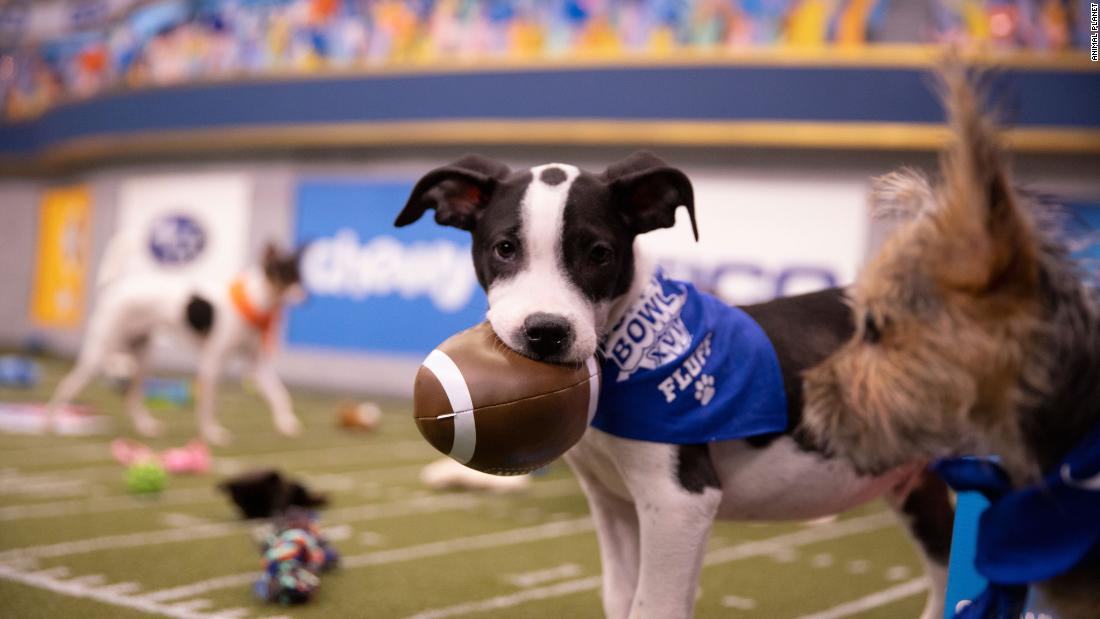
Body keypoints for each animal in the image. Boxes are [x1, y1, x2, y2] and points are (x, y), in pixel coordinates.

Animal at [48, 237, 305, 446]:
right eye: (286, 276)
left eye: (299, 277)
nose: (304, 295)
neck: (252, 303)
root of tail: (114, 287)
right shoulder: (212, 362)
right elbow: (208, 405)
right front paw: (212, 434)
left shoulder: (257, 365)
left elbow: (280, 395)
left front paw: (286, 422)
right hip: (100, 352)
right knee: (68, 385)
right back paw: (53, 420)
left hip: (142, 358)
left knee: (132, 398)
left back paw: (146, 425)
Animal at [398, 153, 954, 619]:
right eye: (504, 249)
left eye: (599, 254)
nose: (547, 332)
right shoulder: (613, 502)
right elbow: (620, 597)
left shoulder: (680, 502)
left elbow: (654, 608)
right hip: (916, 481)